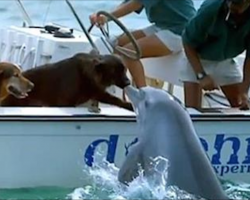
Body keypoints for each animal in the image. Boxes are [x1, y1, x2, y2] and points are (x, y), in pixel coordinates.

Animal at [0, 53, 134, 111]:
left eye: (124, 70)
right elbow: (115, 99)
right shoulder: (66, 103)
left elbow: (114, 99)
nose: (128, 83)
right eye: (115, 71)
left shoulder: (97, 92)